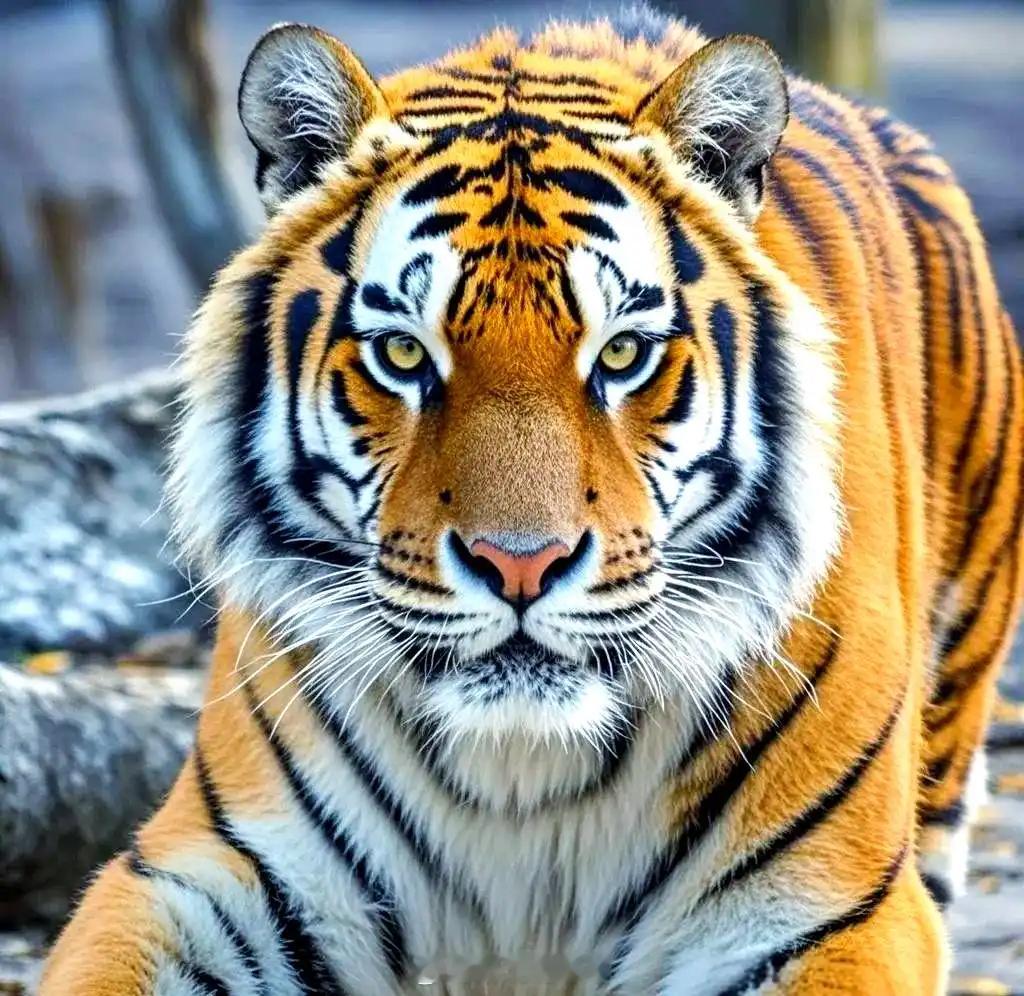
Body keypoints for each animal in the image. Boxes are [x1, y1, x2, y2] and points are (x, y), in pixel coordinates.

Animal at [41, 5, 1022, 994]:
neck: (525, 773)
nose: (521, 565)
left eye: (622, 354)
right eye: (403, 353)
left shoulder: (828, 909)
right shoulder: (206, 875)